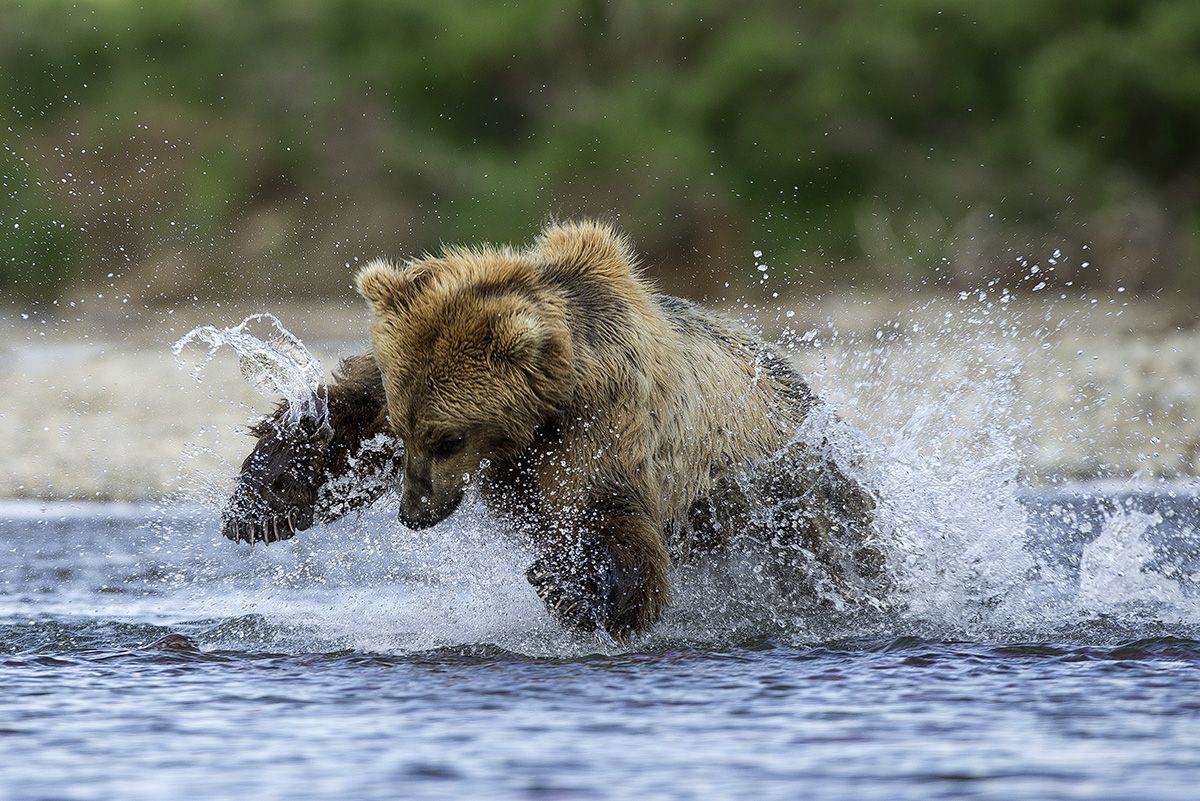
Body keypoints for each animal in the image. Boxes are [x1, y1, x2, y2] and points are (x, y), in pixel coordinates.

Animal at [225, 219, 883, 637]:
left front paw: (571, 579)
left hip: (792, 493)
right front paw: (262, 503)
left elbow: (608, 513)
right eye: (410, 430)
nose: (414, 512)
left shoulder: (603, 424)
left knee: (842, 547)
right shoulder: (395, 383)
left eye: (449, 437)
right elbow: (344, 421)